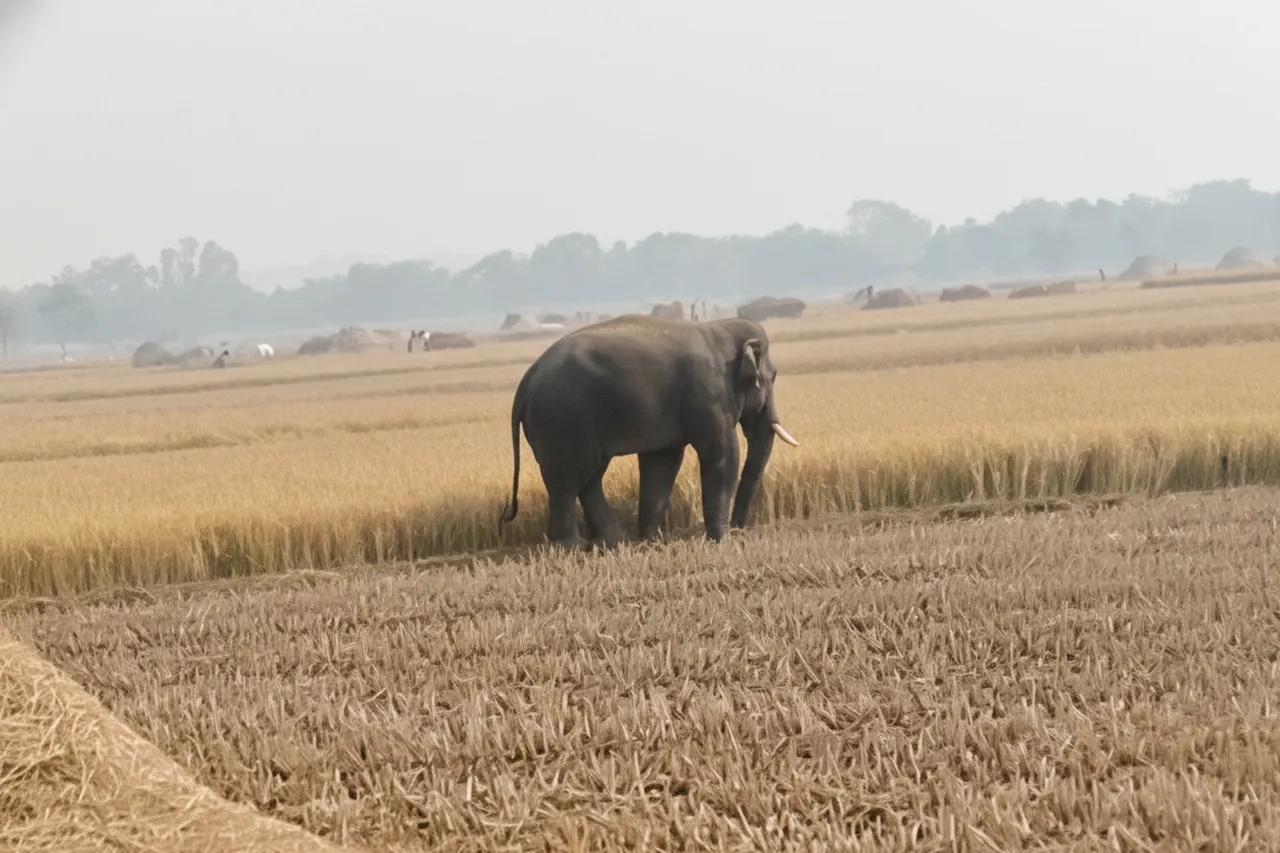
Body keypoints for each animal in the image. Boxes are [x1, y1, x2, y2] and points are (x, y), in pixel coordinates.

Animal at [499, 314, 799, 549]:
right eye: (771, 377)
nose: (739, 530)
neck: (720, 328)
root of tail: (525, 383)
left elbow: (662, 461)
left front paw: (652, 542)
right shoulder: (710, 396)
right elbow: (723, 454)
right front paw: (720, 540)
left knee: (590, 476)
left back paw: (611, 542)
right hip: (562, 420)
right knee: (568, 480)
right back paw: (573, 547)